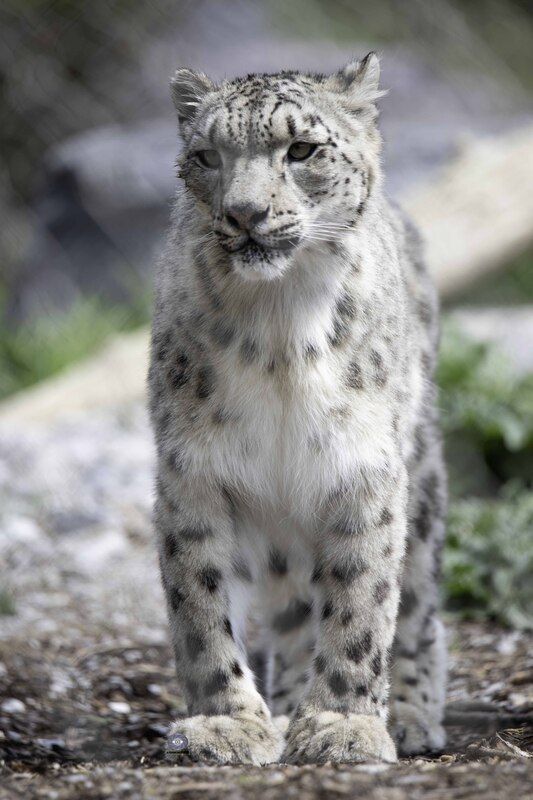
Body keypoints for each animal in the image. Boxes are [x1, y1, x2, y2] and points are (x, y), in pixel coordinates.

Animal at [148, 52, 447, 766]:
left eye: (302, 149)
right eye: (206, 155)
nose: (244, 213)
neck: (279, 330)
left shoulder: (363, 469)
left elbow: (362, 604)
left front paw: (343, 726)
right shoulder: (192, 472)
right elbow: (199, 607)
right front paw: (228, 725)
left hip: (422, 482)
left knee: (419, 603)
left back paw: (412, 714)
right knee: (291, 612)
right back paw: (283, 710)